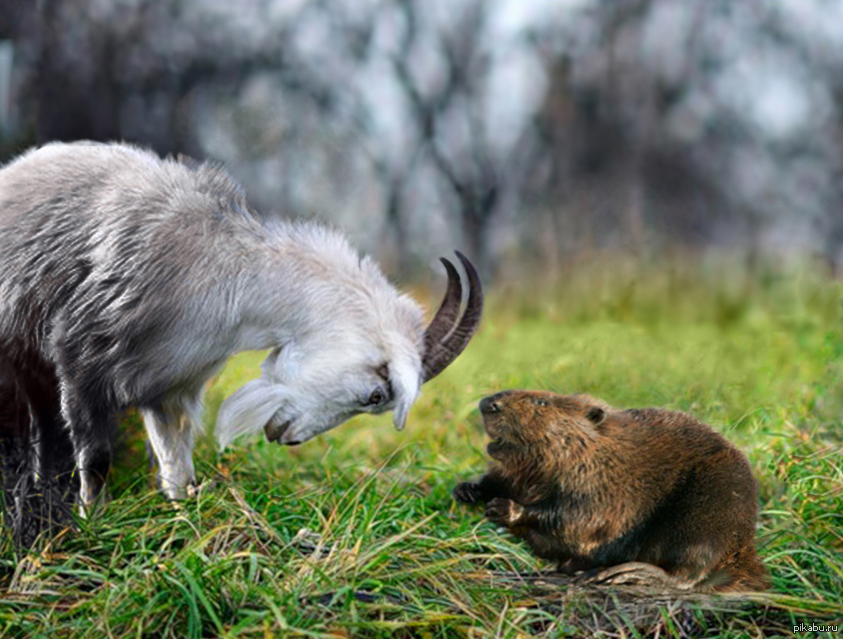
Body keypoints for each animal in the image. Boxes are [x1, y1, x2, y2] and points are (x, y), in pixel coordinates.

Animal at [0, 142, 482, 508]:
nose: (288, 439)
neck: (230, 270)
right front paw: (94, 523)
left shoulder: (168, 387)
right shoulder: (81, 360)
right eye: (376, 395)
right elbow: (97, 458)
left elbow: (176, 465)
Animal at [454, 390, 772, 596]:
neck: (596, 448)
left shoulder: (602, 482)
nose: (488, 403)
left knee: (688, 574)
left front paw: (505, 508)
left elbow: (579, 520)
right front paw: (467, 490)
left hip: (708, 512)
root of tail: (744, 554)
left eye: (541, 401)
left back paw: (620, 574)